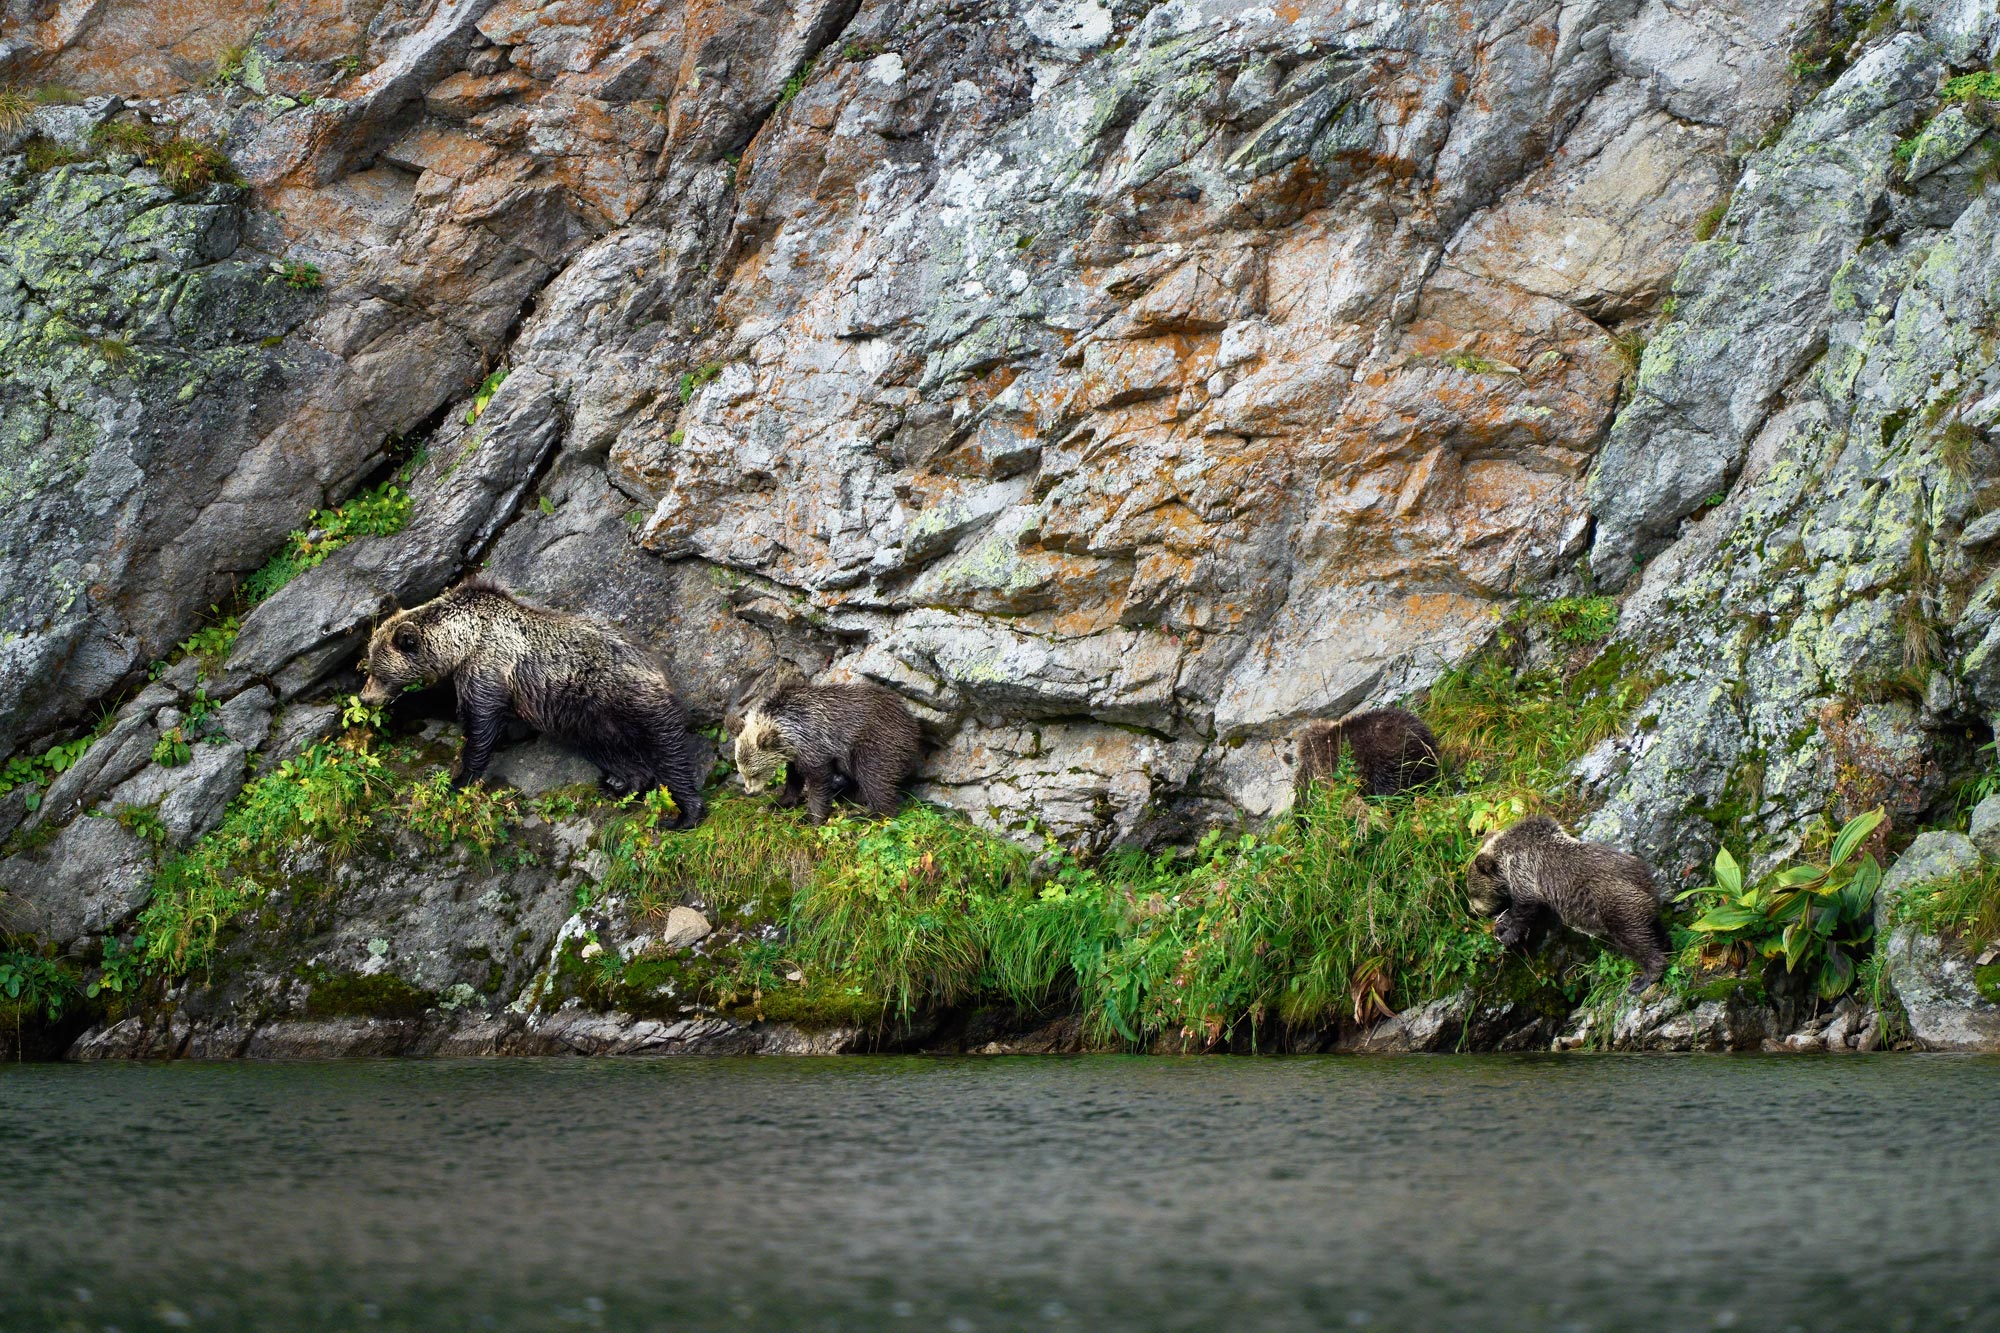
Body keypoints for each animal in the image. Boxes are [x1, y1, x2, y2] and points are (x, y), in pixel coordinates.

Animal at [364, 580, 708, 824]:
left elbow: (481, 724)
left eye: (380, 672)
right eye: (368, 666)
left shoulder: (489, 667)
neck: (464, 641)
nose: (366, 698)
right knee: (611, 752)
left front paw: (458, 780)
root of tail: (660, 669)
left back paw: (685, 813)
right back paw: (619, 784)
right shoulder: (462, 674)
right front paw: (397, 712)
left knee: (669, 751)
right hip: (589, 722)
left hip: (629, 701)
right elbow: (443, 702)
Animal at [736, 676, 920, 820]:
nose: (750, 792)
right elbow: (794, 777)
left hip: (876, 741)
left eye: (755, 773)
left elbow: (819, 780)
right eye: (742, 771)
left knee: (873, 775)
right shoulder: (796, 754)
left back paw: (866, 814)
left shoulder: (815, 745)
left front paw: (811, 817)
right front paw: (780, 803)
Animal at [1472, 816, 1672, 992]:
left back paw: (1645, 978)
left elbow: (1525, 909)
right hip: (1644, 898)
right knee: (1653, 928)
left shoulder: (1523, 870)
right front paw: (1501, 925)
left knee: (1633, 937)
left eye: (1474, 892)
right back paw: (1667, 948)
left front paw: (1506, 934)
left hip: (1616, 902)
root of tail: (1642, 875)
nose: (1473, 912)